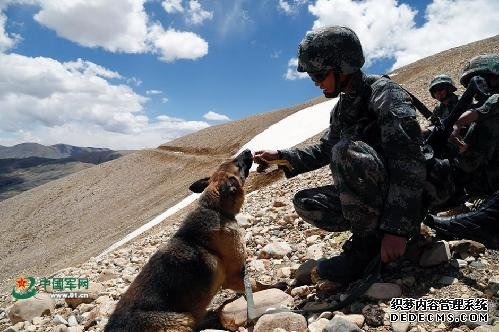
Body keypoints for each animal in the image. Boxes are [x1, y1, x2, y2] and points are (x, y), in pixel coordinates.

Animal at [105, 150, 254, 332]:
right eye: (237, 164)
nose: (248, 151)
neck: (214, 209)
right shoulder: (235, 275)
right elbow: (254, 286)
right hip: (181, 319)